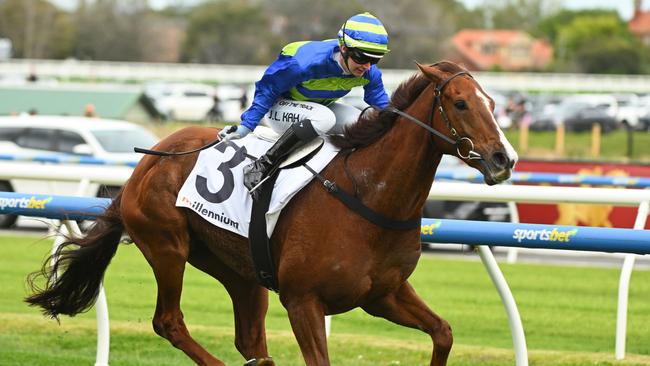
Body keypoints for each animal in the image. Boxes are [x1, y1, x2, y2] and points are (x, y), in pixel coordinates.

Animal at [25, 61, 516, 364]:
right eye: (460, 103)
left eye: (494, 104)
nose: (503, 159)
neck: (367, 196)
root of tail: (148, 161)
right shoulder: (303, 301)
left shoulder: (384, 294)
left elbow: (443, 332)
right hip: (167, 246)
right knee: (169, 321)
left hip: (239, 270)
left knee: (248, 338)